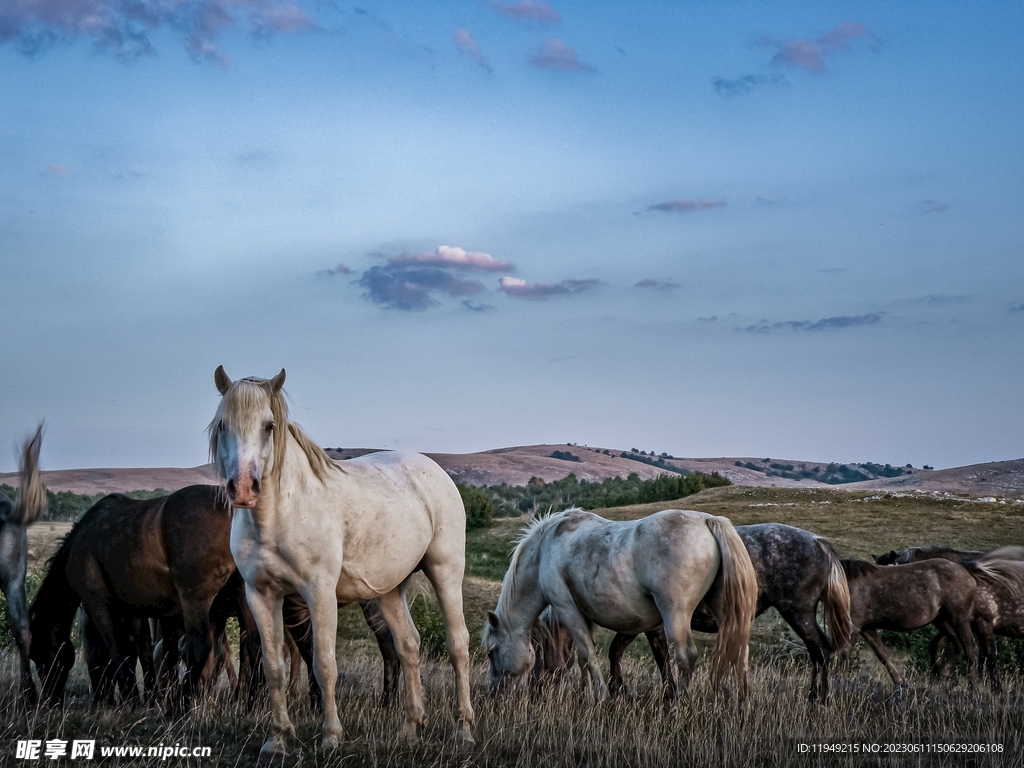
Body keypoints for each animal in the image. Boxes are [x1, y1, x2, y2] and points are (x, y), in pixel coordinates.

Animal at [209, 366, 474, 763]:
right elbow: (274, 669)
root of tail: (433, 468)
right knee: (408, 646)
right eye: (223, 424)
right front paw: (277, 740)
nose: (243, 488)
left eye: (269, 426)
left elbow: (324, 666)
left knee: (458, 646)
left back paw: (464, 731)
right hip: (390, 590)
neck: (278, 516)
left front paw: (331, 737)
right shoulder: (262, 596)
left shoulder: (319, 594)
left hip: (445, 572)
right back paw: (411, 729)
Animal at [482, 507, 758, 700]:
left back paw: (679, 703)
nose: (493, 692)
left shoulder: (567, 608)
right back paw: (742, 702)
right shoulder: (585, 614)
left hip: (675, 614)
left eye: (491, 652)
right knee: (740, 652)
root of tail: (707, 521)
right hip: (724, 612)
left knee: (686, 657)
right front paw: (585, 693)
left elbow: (588, 654)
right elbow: (583, 658)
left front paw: (602, 697)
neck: (545, 549)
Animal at [598, 523, 851, 702]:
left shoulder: (649, 624)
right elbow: (618, 650)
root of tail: (817, 542)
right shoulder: (640, 624)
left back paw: (817, 698)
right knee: (820, 651)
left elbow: (656, 660)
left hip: (798, 612)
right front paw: (619, 689)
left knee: (820, 650)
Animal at [838, 559, 980, 687]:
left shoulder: (854, 625)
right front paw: (900, 683)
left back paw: (972, 688)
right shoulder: (866, 627)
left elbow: (845, 655)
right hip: (943, 620)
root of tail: (970, 577)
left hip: (959, 619)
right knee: (957, 646)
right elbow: (882, 654)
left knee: (971, 650)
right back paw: (944, 676)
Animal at [874, 546, 1024, 689]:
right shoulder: (955, 624)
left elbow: (990, 657)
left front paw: (996, 690)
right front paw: (943, 678)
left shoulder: (983, 624)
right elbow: (937, 646)